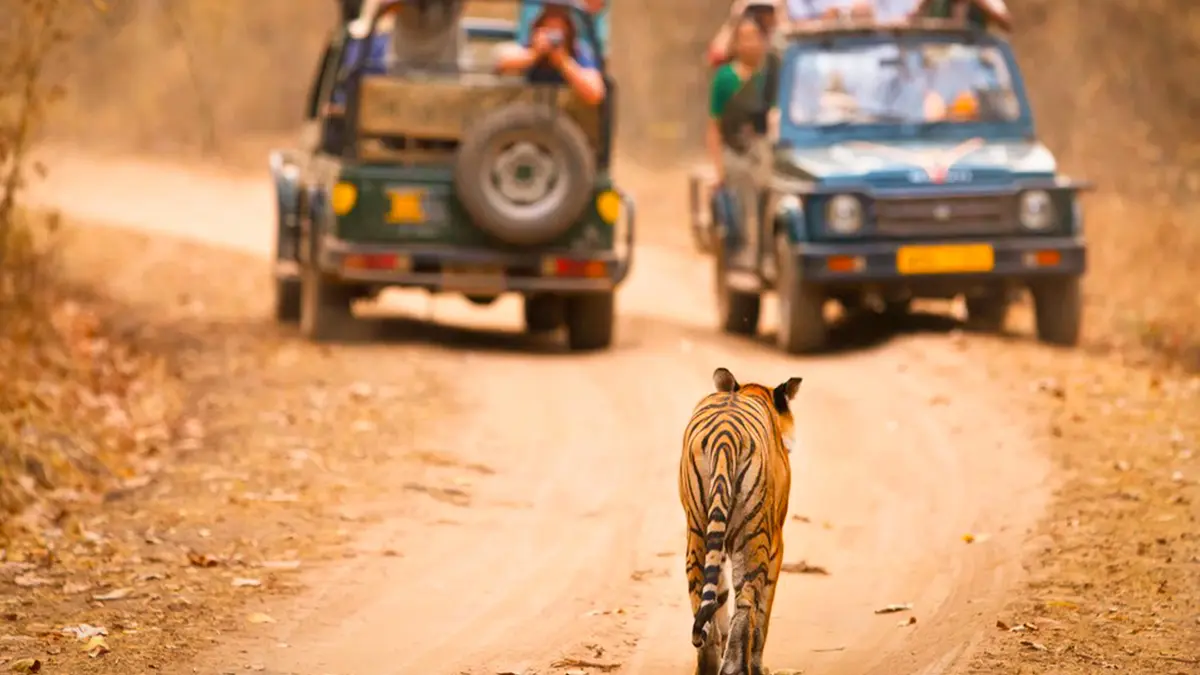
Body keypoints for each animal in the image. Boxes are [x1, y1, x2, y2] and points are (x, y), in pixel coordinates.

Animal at [679, 367, 801, 675]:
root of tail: (725, 435)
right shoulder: (776, 542)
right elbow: (763, 613)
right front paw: (758, 665)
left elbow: (719, 596)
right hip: (753, 534)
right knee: (746, 602)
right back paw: (737, 667)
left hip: (697, 529)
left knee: (700, 596)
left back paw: (708, 665)